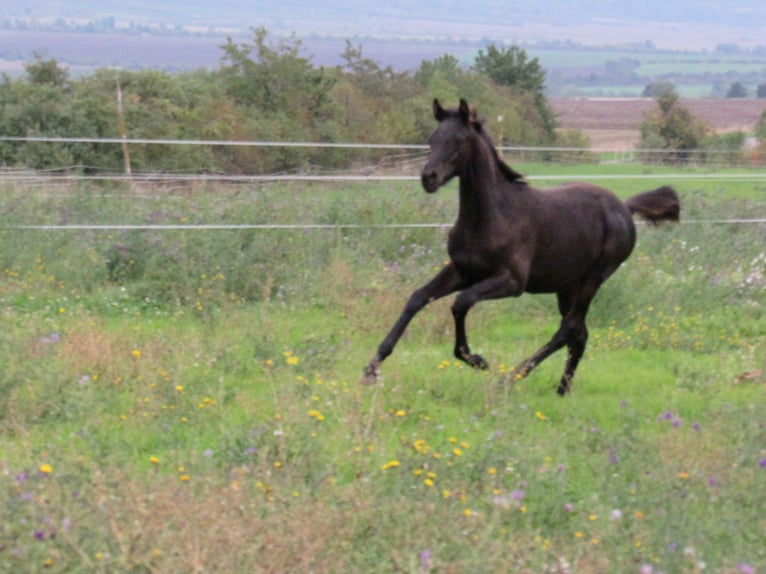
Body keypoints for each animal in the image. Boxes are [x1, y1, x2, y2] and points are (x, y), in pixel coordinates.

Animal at [361, 98, 680, 395]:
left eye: (459, 141)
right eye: (431, 139)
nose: (428, 178)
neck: (491, 216)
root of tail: (625, 207)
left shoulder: (512, 282)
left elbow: (461, 302)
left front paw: (476, 359)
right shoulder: (461, 271)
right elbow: (417, 298)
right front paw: (372, 368)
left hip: (594, 278)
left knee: (568, 328)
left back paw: (511, 377)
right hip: (567, 285)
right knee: (580, 332)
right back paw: (562, 389)